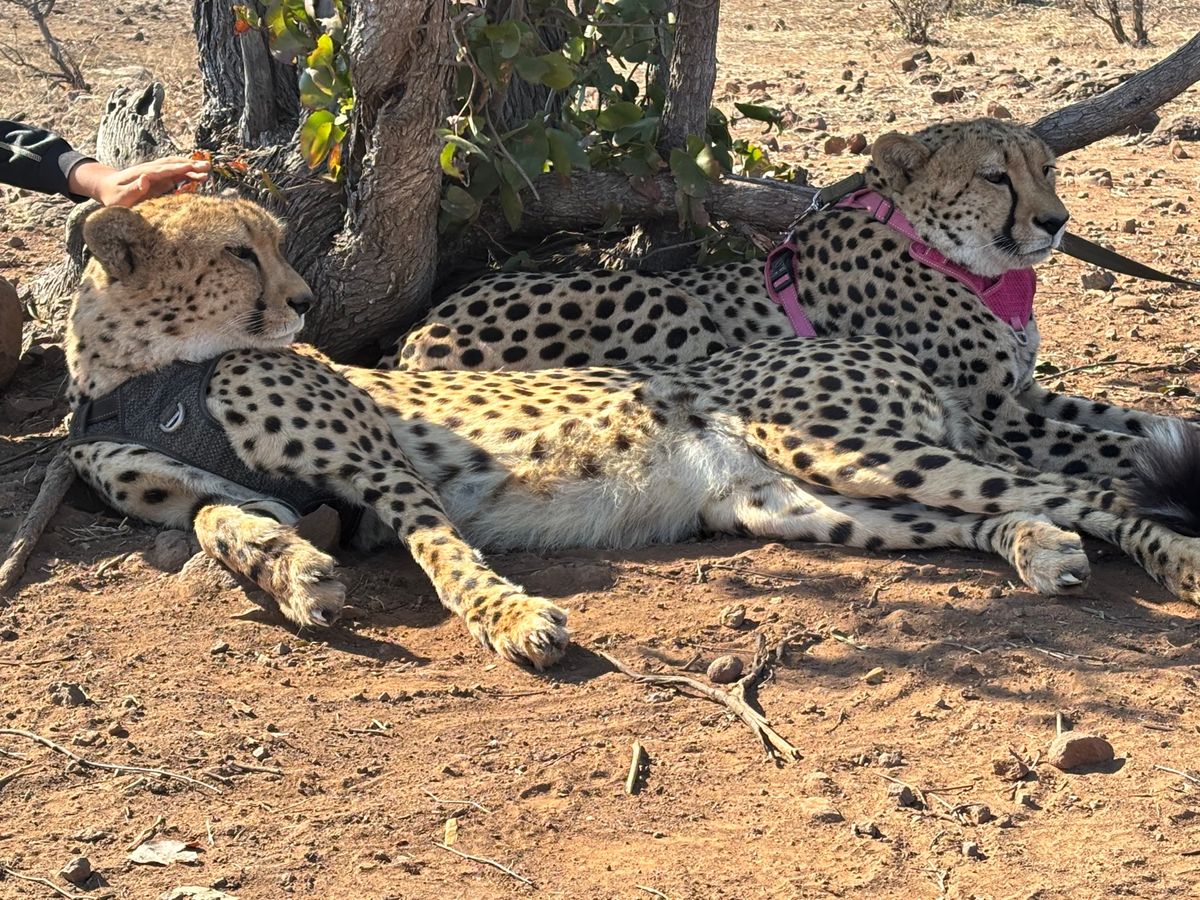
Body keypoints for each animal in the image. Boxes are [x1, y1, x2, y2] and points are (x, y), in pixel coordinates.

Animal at [64, 193, 1200, 674]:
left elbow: (443, 551)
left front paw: (512, 620)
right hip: (800, 503)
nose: (304, 302)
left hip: (839, 444)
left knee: (1094, 491)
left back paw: (1173, 561)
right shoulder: (220, 484)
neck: (148, 372)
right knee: (988, 515)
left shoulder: (383, 466)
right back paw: (1039, 552)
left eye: (269, 243)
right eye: (237, 250)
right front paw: (292, 572)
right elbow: (219, 522)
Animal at [384, 117, 1200, 537]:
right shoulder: (1001, 412)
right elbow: (1110, 442)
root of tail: (417, 333)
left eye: (1048, 170)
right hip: (670, 304)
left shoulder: (1024, 396)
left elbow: (1137, 419)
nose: (1056, 223)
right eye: (995, 176)